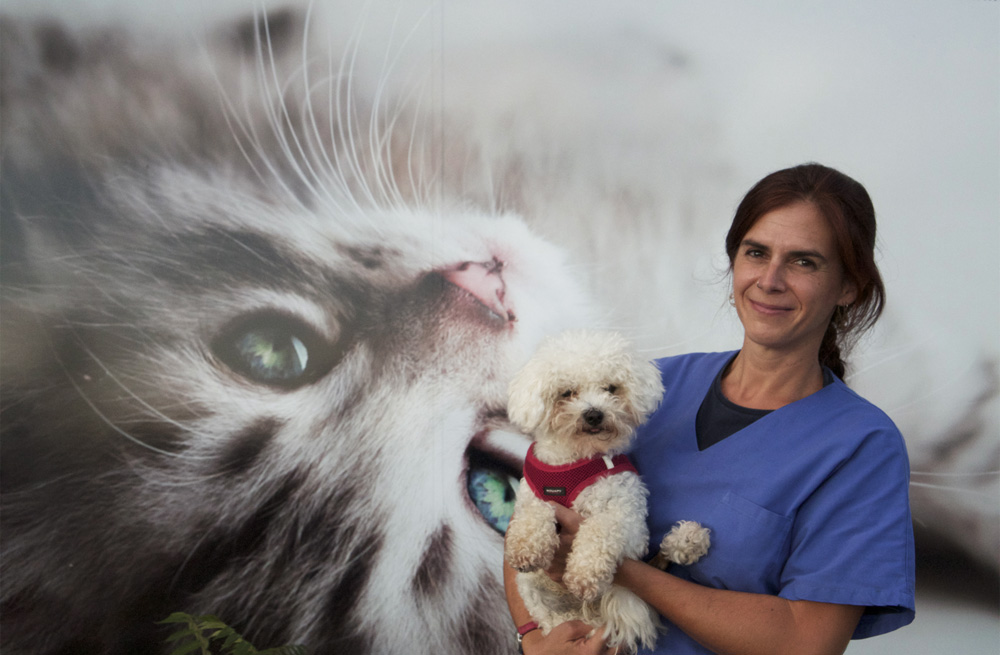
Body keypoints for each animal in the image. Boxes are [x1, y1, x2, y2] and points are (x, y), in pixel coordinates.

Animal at [508, 330, 712, 652]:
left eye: (611, 388)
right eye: (567, 392)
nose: (594, 414)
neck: (578, 458)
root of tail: (590, 613)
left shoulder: (630, 520)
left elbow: (601, 527)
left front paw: (584, 572)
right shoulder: (532, 495)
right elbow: (534, 512)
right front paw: (527, 544)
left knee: (656, 565)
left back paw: (688, 540)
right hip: (535, 592)